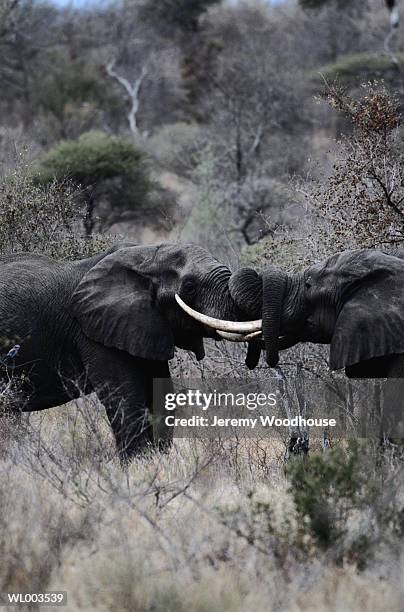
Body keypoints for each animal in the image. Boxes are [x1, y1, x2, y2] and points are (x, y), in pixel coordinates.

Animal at [0, 243, 254, 460]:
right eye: (189, 287)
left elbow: (160, 393)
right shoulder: (93, 330)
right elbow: (126, 398)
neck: (142, 258)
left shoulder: (144, 326)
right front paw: (139, 468)